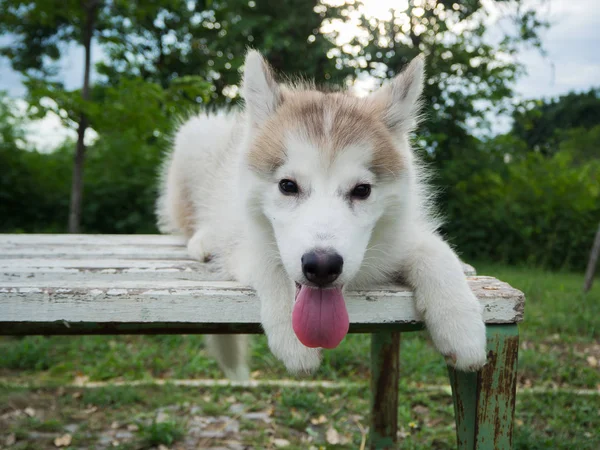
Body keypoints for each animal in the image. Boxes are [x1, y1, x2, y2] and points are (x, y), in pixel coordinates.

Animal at [155, 50, 488, 380]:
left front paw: (462, 325)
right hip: (196, 137)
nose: (322, 265)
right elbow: (271, 264)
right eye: (288, 186)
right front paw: (294, 341)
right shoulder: (244, 244)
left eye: (362, 190)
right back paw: (202, 239)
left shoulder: (399, 236)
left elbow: (435, 250)